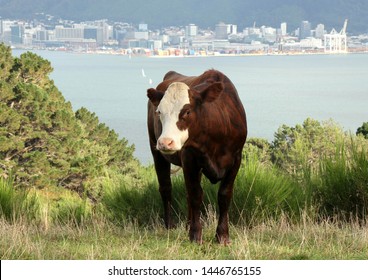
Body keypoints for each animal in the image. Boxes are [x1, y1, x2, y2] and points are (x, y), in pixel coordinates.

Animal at [147, 69, 247, 243]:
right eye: (159, 112)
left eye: (187, 111)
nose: (165, 142)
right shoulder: (189, 158)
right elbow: (195, 195)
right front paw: (195, 235)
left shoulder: (236, 159)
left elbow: (224, 195)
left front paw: (222, 236)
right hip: (156, 151)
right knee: (166, 187)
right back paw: (170, 225)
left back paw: (187, 225)